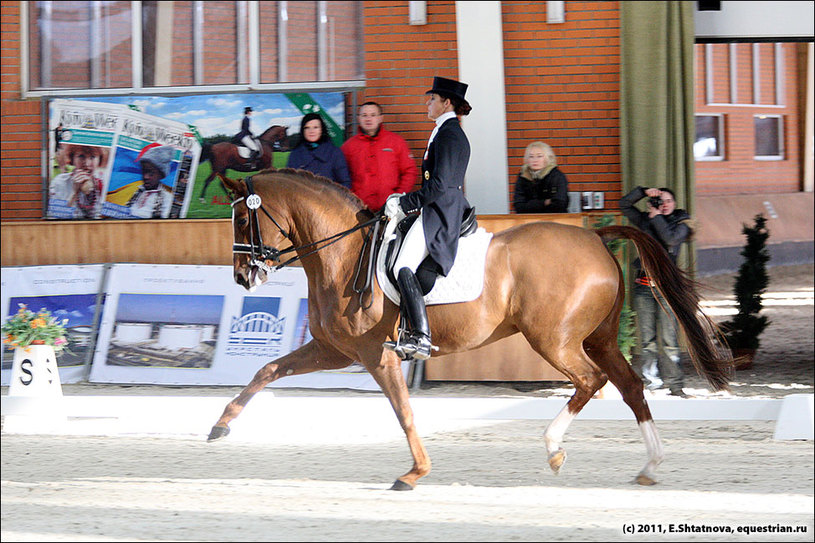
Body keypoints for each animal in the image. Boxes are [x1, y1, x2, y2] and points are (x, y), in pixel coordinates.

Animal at [209, 172, 732, 490]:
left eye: (241, 218)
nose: (241, 278)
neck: (342, 253)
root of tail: (594, 235)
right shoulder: (333, 350)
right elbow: (267, 370)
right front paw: (220, 425)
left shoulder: (376, 355)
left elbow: (404, 413)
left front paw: (415, 473)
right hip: (598, 337)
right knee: (630, 386)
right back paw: (650, 465)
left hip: (555, 340)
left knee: (591, 381)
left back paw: (554, 449)